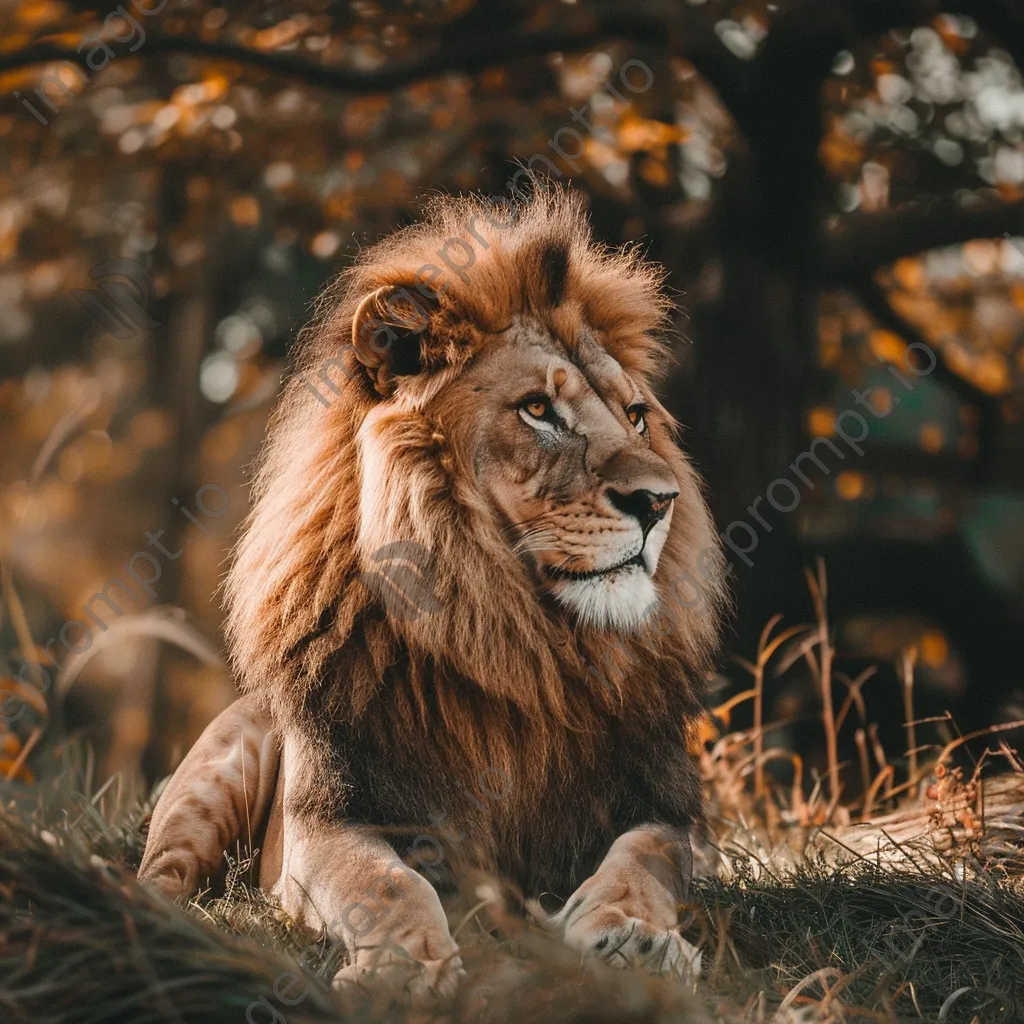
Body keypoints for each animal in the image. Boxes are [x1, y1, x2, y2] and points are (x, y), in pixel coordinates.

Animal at [138, 188, 729, 995]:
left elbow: (644, 862)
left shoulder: (659, 808)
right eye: (538, 410)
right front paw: (402, 966)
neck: (522, 642)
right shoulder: (336, 819)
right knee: (160, 874)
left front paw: (637, 939)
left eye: (636, 415)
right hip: (216, 774)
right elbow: (385, 882)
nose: (659, 501)